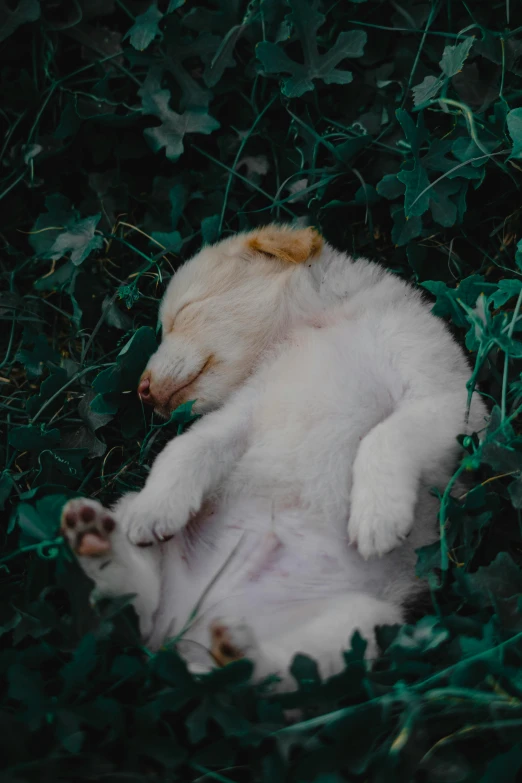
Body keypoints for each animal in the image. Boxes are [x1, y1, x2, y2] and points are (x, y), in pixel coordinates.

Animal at [61, 225, 484, 688]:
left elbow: (384, 436)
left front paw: (377, 514)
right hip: (131, 520)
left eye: (183, 314)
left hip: (361, 623)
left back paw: (236, 648)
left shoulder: (452, 400)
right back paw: (96, 539)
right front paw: (158, 505)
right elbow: (185, 449)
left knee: (273, 671)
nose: (142, 390)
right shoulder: (241, 415)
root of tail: (187, 628)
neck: (319, 324)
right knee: (138, 605)